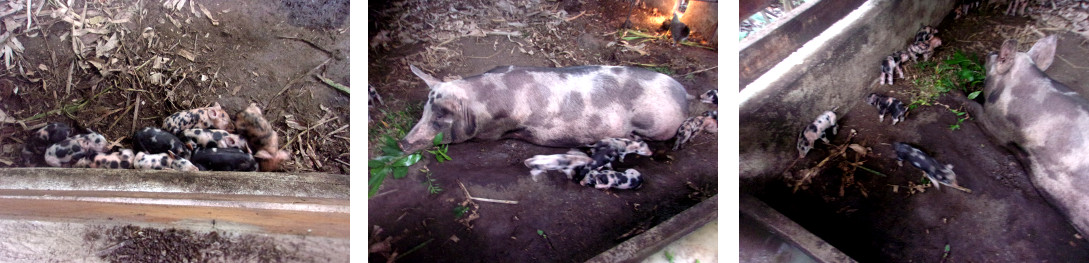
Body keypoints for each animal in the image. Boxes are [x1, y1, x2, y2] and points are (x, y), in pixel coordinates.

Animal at [400, 64, 688, 152]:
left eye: (440, 117)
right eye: (424, 111)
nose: (402, 143)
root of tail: (684, 95)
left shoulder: (495, 130)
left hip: (655, 124)